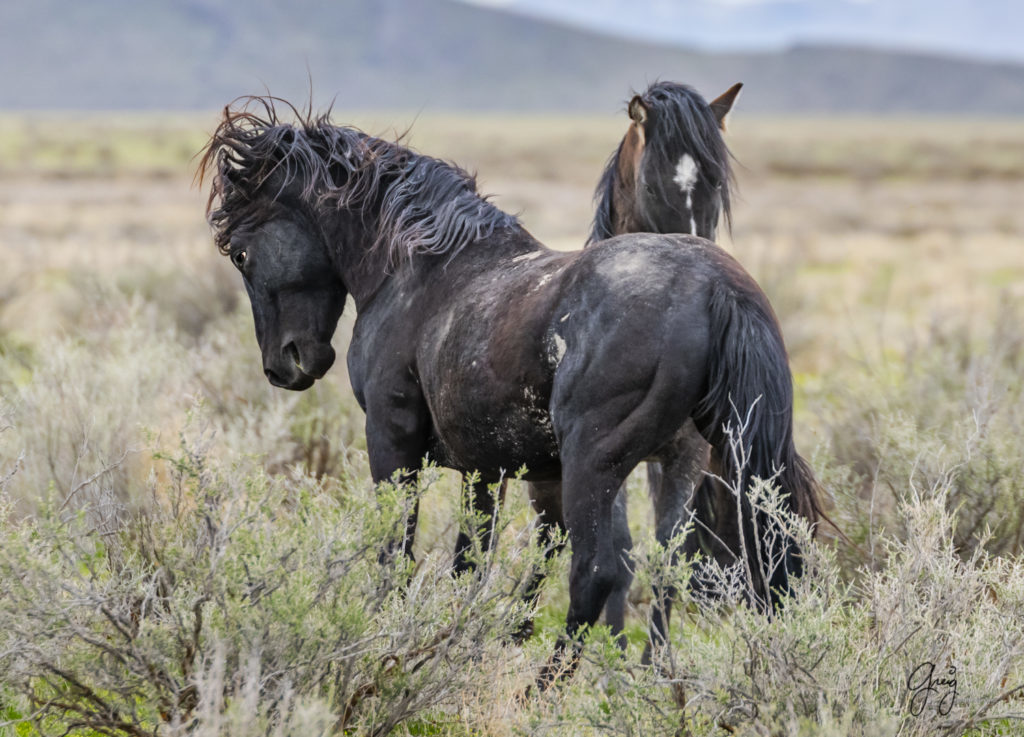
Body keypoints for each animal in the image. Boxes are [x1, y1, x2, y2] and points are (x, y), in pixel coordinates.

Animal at [201, 97, 815, 683]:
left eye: (241, 253)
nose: (285, 365)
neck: (419, 268)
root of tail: (715, 288)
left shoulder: (391, 442)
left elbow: (396, 550)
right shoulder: (483, 470)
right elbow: (469, 564)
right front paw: (452, 647)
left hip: (595, 464)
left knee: (597, 572)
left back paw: (545, 687)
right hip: (688, 464)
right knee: (679, 568)